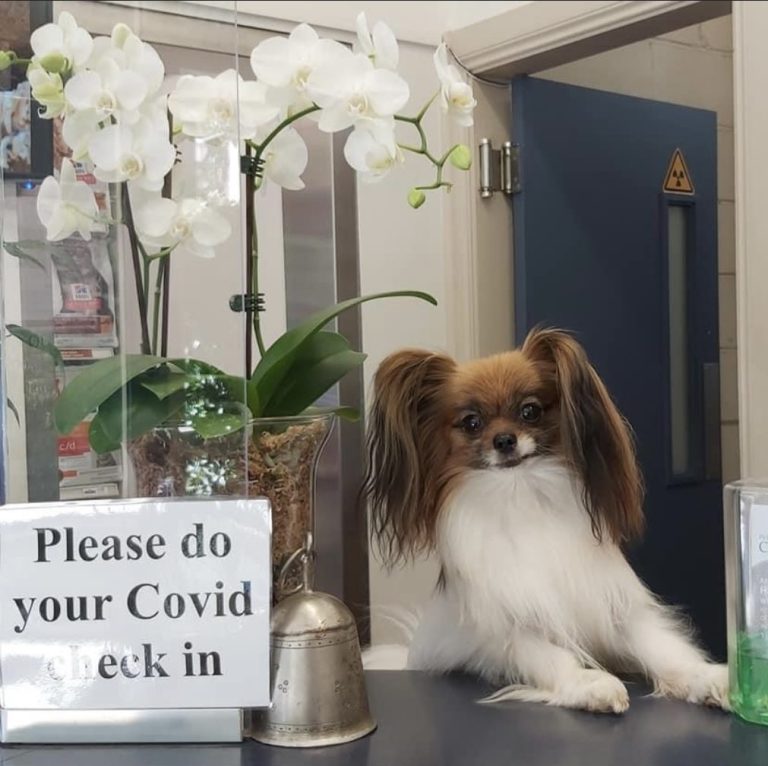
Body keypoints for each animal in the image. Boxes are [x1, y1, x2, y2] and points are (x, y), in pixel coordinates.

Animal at [364, 328, 728, 712]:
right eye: (472, 422)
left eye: (530, 411)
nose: (504, 440)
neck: (521, 493)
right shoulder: (512, 626)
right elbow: (549, 656)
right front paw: (588, 683)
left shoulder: (612, 604)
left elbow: (660, 646)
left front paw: (704, 677)